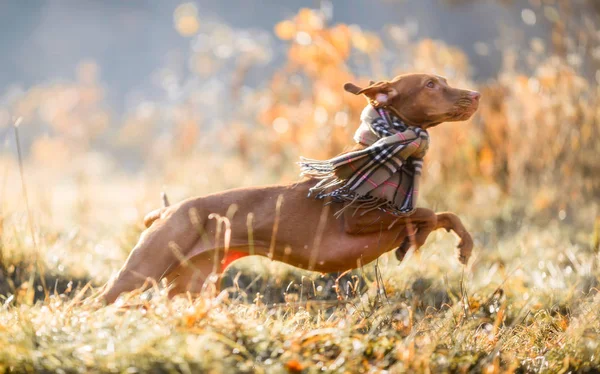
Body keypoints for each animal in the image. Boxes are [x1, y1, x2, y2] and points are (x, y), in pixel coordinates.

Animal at [101, 74, 480, 304]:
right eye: (430, 84)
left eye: (444, 81)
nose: (476, 95)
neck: (393, 154)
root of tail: (168, 209)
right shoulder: (357, 218)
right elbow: (424, 212)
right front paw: (419, 238)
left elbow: (445, 215)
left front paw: (461, 246)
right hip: (141, 272)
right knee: (100, 299)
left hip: (189, 284)